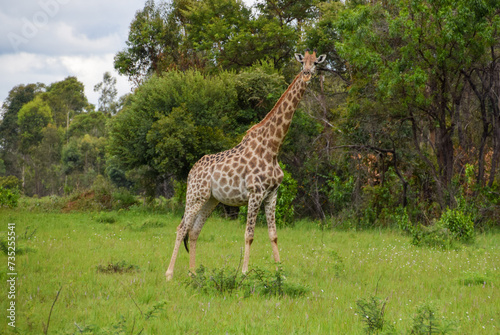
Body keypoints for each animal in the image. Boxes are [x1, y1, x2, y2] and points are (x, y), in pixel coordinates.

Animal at [166, 50, 326, 280]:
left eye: (315, 64)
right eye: (301, 62)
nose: (306, 75)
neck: (273, 147)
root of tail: (191, 171)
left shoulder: (271, 194)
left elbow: (273, 234)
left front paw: (280, 272)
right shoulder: (255, 193)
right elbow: (249, 234)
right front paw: (243, 273)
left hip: (211, 200)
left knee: (194, 230)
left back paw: (193, 273)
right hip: (195, 195)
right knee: (181, 228)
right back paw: (169, 274)